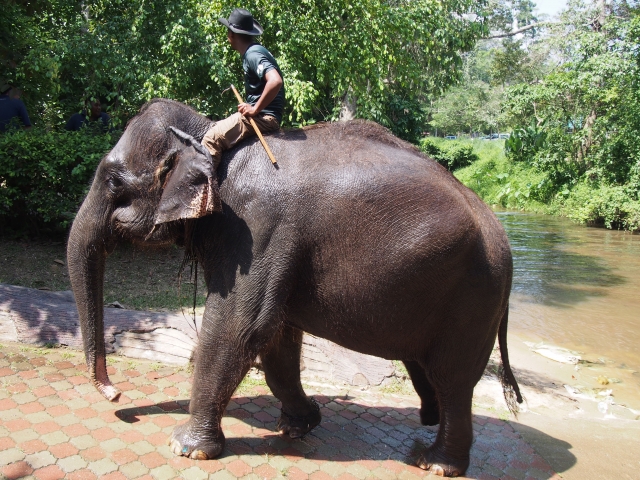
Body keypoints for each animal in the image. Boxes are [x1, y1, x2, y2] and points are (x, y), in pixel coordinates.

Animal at [67, 97, 524, 476]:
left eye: (113, 182)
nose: (116, 396)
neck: (205, 133)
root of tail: (500, 233)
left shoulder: (257, 227)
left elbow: (240, 327)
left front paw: (186, 447)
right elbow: (277, 336)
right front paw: (298, 427)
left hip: (474, 298)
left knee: (453, 379)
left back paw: (436, 463)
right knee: (426, 369)